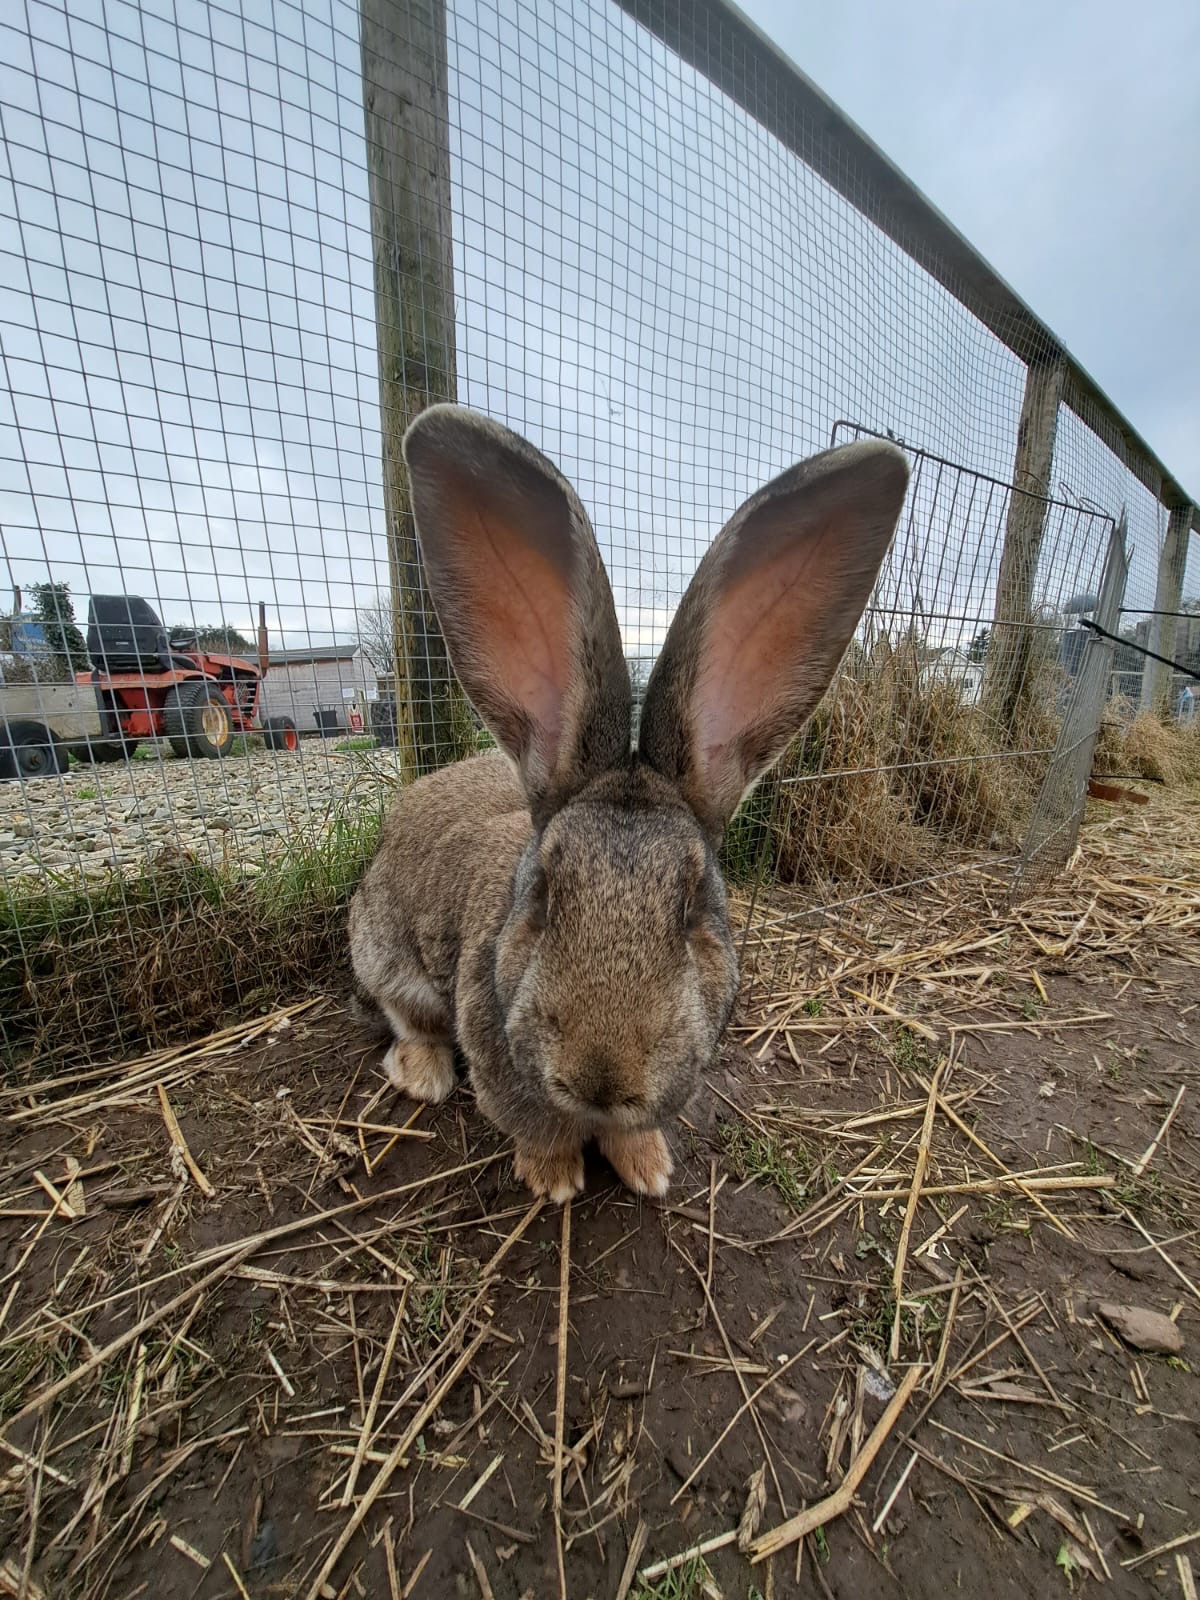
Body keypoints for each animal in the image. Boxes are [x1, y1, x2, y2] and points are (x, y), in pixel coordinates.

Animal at [350, 406, 908, 1203]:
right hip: (386, 952)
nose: (602, 1076)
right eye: (543, 893)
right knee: (405, 1019)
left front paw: (648, 1166)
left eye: (696, 905)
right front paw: (554, 1178)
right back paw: (424, 1073)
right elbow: (538, 1128)